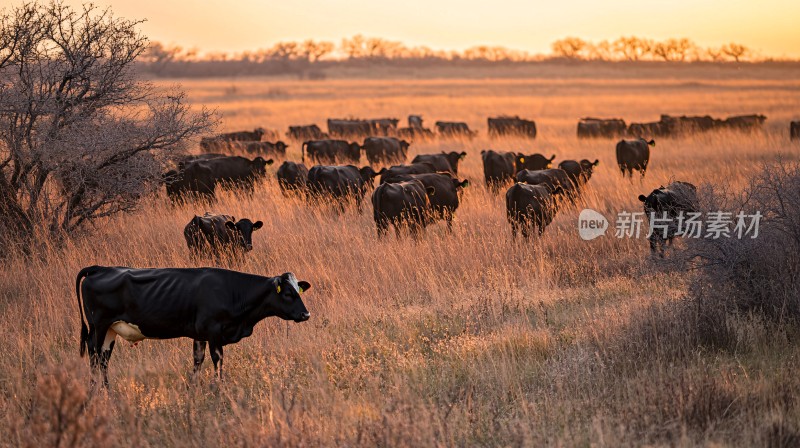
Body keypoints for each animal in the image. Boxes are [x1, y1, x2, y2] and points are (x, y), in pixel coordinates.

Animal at [75, 266, 310, 384]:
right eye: (288, 294)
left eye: (298, 290)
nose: (306, 314)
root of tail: (99, 268)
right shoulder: (214, 332)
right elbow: (217, 360)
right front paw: (218, 388)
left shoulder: (200, 334)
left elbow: (198, 360)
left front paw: (193, 389)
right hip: (98, 326)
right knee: (94, 355)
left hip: (111, 330)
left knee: (103, 359)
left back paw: (106, 391)